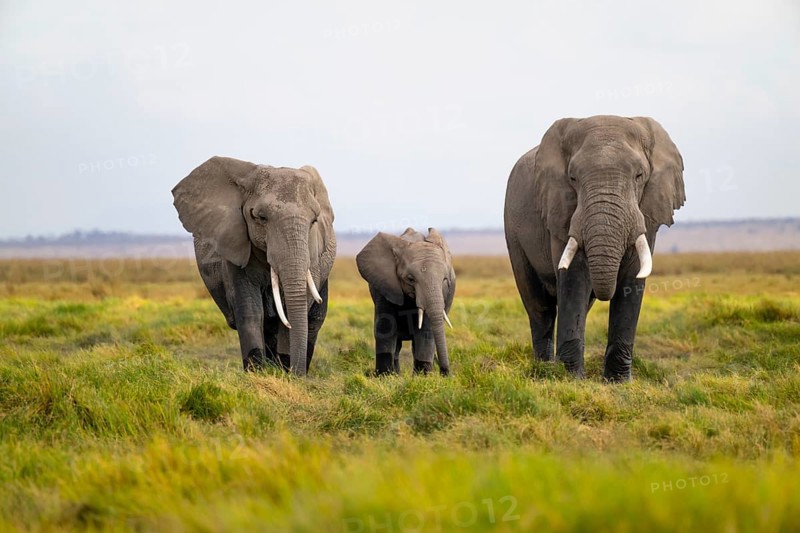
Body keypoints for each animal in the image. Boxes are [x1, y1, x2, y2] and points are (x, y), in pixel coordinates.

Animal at [172, 156, 336, 375]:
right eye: (261, 218)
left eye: (314, 221)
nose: (297, 373)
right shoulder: (235, 247)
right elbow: (250, 311)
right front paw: (257, 374)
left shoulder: (313, 254)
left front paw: (286, 374)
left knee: (313, 322)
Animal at [356, 228, 456, 376]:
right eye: (410, 279)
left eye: (445, 279)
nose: (445, 373)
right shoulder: (385, 285)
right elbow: (386, 326)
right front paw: (384, 376)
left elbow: (426, 331)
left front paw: (422, 377)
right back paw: (396, 374)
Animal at [504, 116, 684, 381]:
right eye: (573, 178)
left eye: (639, 175)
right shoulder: (561, 210)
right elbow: (574, 277)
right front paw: (571, 379)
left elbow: (633, 280)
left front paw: (618, 382)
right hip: (513, 232)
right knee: (539, 306)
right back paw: (544, 370)